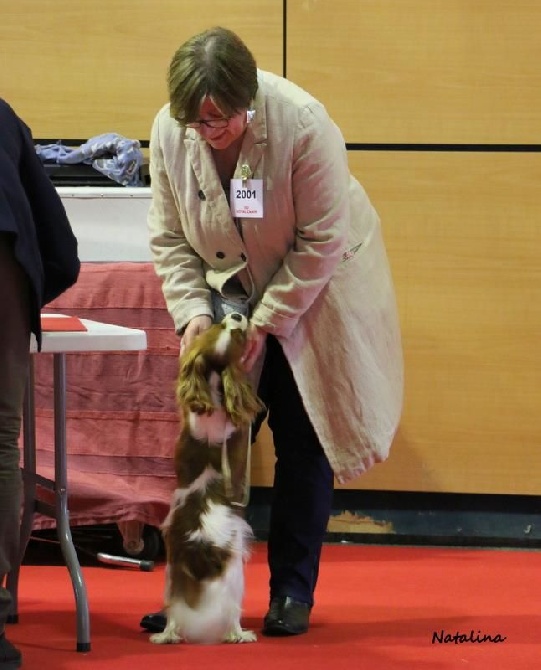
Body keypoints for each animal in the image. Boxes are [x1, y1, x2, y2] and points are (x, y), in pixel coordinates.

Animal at [150, 316, 264, 644]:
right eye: (223, 328)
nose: (235, 316)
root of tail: (202, 547)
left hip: (171, 574)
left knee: (174, 612)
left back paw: (166, 634)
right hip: (235, 572)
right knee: (232, 613)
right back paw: (241, 634)